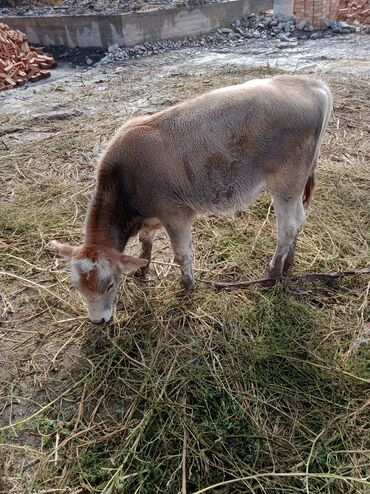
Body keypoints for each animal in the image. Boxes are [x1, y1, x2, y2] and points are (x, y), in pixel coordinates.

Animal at [52, 75, 332, 324]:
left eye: (110, 285)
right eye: (77, 287)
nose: (98, 321)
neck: (123, 178)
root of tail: (311, 85)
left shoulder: (175, 214)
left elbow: (181, 254)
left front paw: (187, 287)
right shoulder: (151, 217)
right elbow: (145, 242)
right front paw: (142, 269)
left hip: (286, 184)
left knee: (287, 228)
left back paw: (272, 274)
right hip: (297, 184)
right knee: (300, 218)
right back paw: (288, 262)